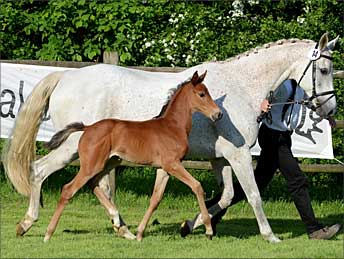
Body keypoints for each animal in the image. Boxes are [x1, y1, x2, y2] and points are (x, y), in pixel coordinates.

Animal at [43, 70, 223, 242]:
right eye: (202, 94)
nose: (218, 114)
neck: (173, 126)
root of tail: (87, 128)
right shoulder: (173, 164)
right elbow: (197, 186)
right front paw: (209, 230)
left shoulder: (164, 168)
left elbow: (155, 199)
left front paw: (139, 233)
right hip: (92, 165)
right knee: (68, 189)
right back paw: (48, 234)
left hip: (109, 162)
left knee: (93, 183)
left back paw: (117, 220)